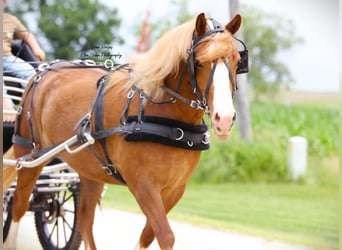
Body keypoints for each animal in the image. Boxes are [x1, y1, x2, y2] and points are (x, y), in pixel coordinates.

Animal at [2, 12, 244, 249]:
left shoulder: (175, 189)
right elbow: (165, 235)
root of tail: (41, 72)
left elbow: (148, 235)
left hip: (89, 171)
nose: (224, 118)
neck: (171, 123)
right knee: (18, 206)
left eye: (237, 60)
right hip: (30, 155)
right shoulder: (143, 186)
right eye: (199, 63)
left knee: (85, 219)